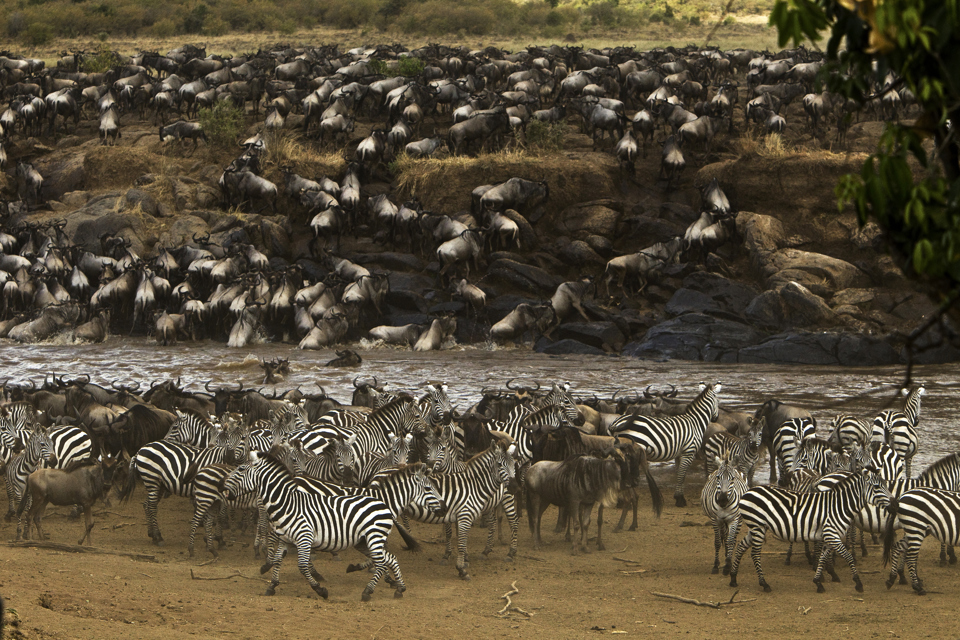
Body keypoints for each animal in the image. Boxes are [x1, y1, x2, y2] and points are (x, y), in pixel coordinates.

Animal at [225, 448, 420, 604]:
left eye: (241, 469)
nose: (224, 486)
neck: (288, 503)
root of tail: (383, 504)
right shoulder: (286, 539)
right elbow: (279, 560)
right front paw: (272, 586)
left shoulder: (304, 537)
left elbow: (303, 566)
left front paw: (321, 590)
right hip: (365, 541)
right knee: (390, 558)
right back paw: (399, 588)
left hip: (374, 537)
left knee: (380, 562)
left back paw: (368, 591)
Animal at [408, 440, 520, 580]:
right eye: (499, 464)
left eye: (443, 449)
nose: (515, 486)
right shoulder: (454, 512)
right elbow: (453, 534)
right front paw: (453, 558)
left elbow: (461, 536)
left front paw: (463, 561)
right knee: (494, 523)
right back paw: (487, 551)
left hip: (507, 498)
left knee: (513, 521)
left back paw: (510, 552)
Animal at [728, 464, 892, 596]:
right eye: (877, 487)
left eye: (885, 484)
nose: (894, 504)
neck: (839, 506)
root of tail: (748, 492)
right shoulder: (832, 534)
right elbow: (848, 557)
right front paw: (858, 583)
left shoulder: (829, 536)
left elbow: (823, 557)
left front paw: (818, 582)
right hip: (758, 527)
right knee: (755, 554)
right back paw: (764, 583)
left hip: (756, 527)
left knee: (741, 546)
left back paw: (733, 578)